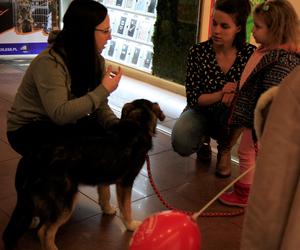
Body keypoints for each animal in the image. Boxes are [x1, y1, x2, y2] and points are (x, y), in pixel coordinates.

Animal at [2, 98, 165, 249]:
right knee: (44, 231)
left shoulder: (104, 176)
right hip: (66, 201)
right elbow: (126, 208)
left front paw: (108, 210)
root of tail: (34, 158)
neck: (137, 124)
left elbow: (105, 195)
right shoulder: (126, 182)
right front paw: (131, 225)